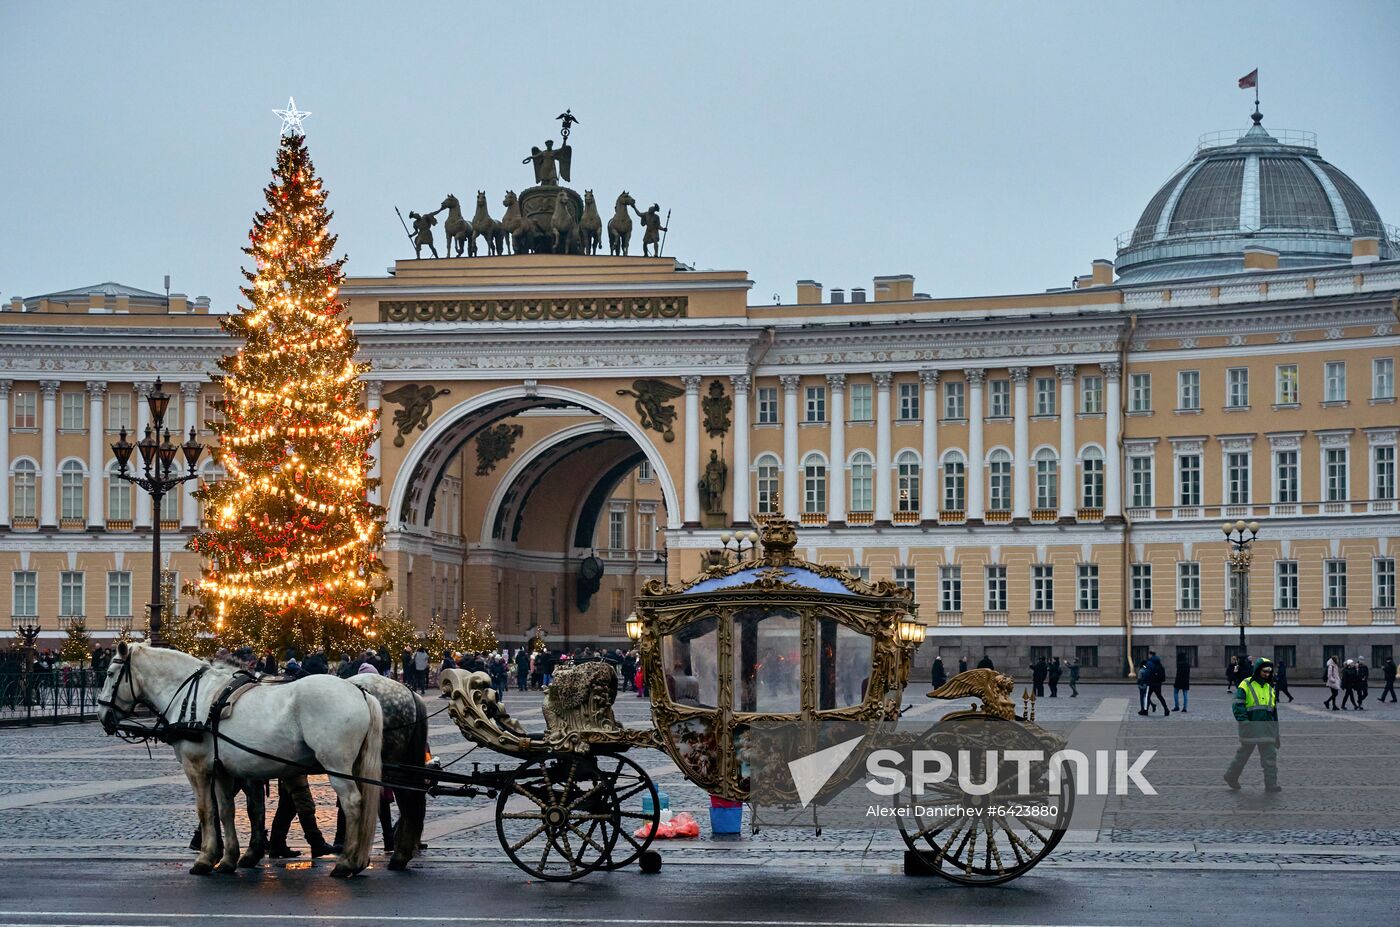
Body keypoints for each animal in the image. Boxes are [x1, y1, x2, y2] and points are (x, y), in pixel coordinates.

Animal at [98, 644, 383, 884]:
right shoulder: (223, 770)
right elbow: (227, 811)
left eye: (110, 674)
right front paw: (228, 859)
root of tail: (359, 691)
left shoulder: (197, 768)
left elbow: (205, 810)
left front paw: (205, 859)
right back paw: (356, 859)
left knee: (352, 803)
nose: (102, 716)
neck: (195, 699)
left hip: (336, 765)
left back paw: (346, 863)